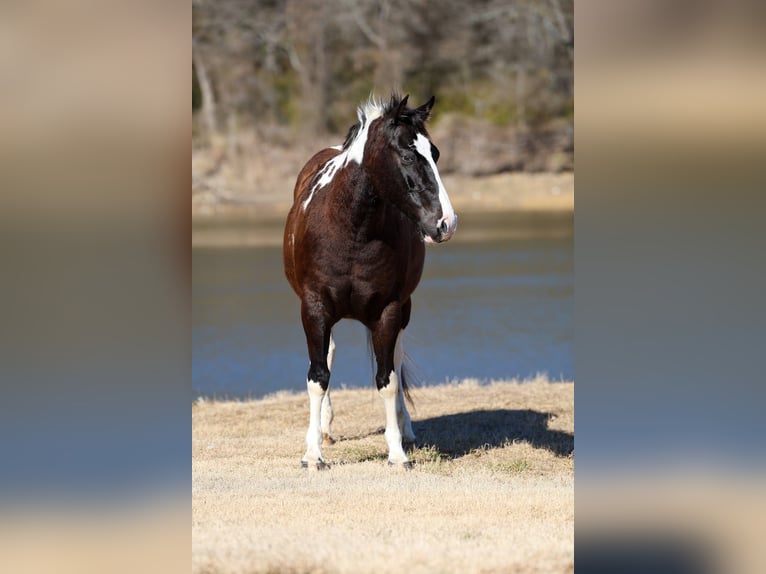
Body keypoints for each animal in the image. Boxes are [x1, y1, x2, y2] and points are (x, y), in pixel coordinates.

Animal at [283, 94, 457, 469]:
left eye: (435, 153)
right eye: (408, 155)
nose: (446, 223)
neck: (351, 228)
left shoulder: (387, 310)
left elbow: (388, 379)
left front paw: (397, 453)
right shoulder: (314, 308)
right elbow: (318, 377)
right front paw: (313, 454)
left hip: (402, 310)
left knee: (398, 357)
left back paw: (405, 429)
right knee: (328, 357)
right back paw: (325, 431)